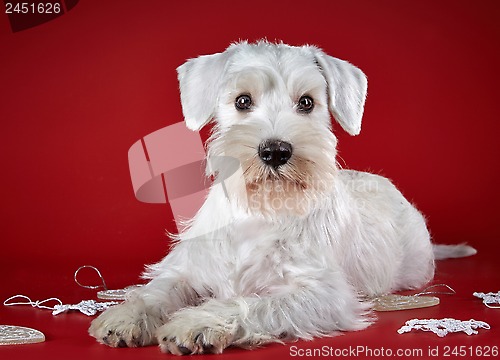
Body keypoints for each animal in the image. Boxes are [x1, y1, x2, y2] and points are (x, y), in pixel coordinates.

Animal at [90, 41, 476, 354]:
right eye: (242, 101)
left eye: (306, 102)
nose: (275, 151)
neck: (261, 210)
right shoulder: (189, 269)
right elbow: (157, 291)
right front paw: (125, 316)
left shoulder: (319, 293)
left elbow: (253, 304)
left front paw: (197, 323)